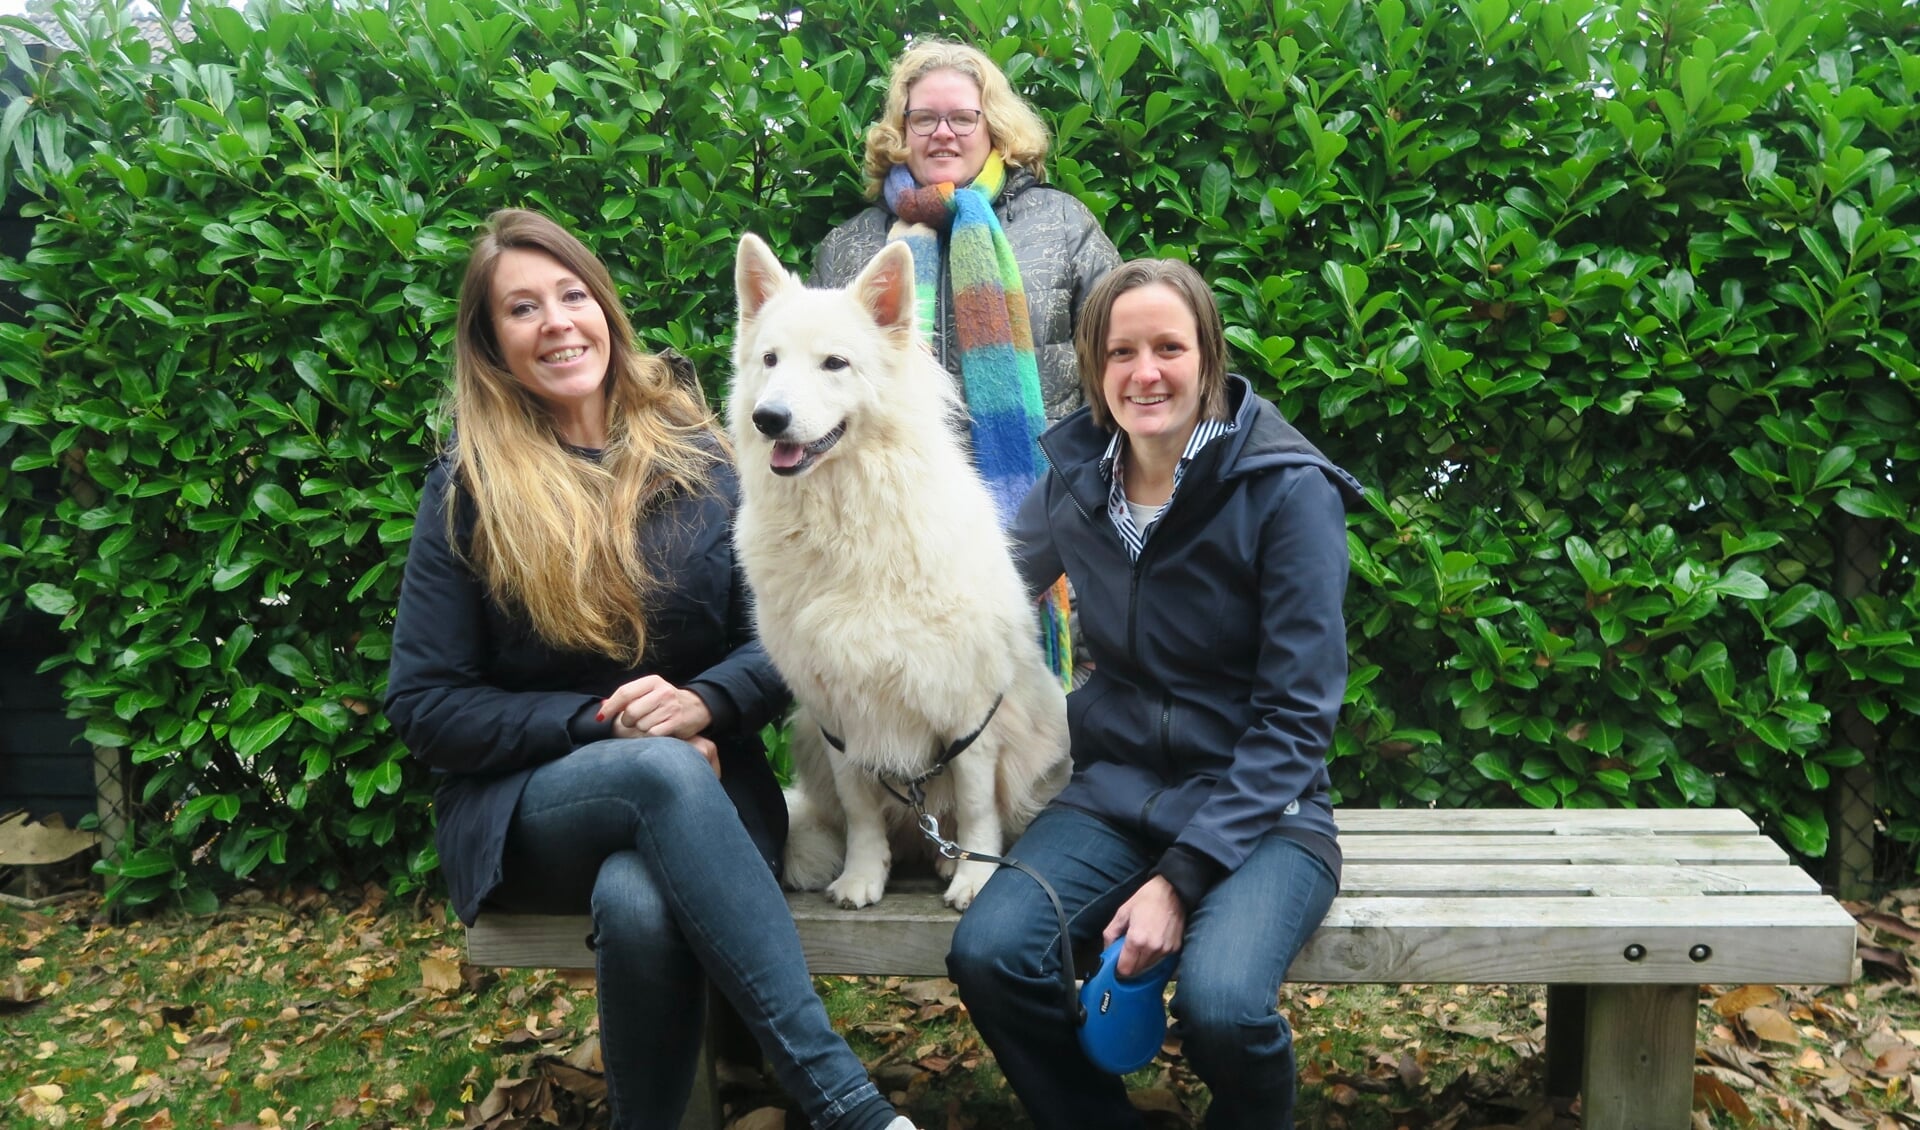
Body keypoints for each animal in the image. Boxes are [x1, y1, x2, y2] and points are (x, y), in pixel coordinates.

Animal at [725, 235, 1075, 909]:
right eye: (771, 360)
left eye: (834, 363)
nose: (768, 418)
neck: (845, 525)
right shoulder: (836, 715)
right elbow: (861, 812)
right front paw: (863, 877)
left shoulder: (968, 708)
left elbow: (975, 802)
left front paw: (974, 878)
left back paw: (948, 860)